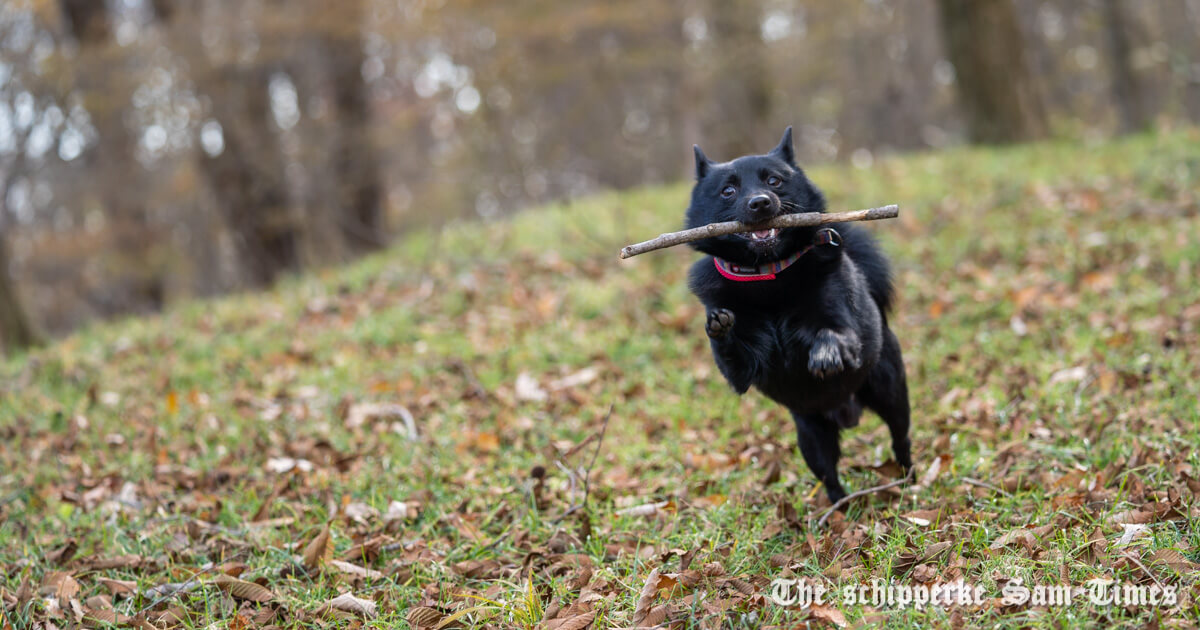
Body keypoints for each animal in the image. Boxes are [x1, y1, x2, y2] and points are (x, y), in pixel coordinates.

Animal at [686, 126, 907, 501]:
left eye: (774, 181)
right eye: (728, 190)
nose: (760, 202)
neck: (769, 278)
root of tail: (846, 411)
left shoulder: (842, 325)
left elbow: (833, 333)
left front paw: (826, 354)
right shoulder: (741, 374)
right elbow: (731, 352)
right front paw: (720, 326)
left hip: (890, 393)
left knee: (900, 439)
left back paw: (910, 480)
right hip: (811, 436)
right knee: (830, 476)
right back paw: (840, 507)